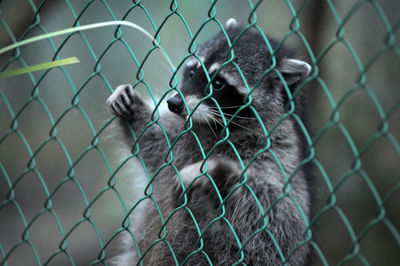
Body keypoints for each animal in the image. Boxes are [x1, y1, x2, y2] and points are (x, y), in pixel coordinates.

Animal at [108, 17, 314, 264]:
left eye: (218, 84)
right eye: (192, 71)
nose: (174, 103)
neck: (217, 127)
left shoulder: (280, 154)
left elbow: (279, 230)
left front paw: (216, 172)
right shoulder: (185, 136)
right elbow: (157, 144)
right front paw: (134, 111)